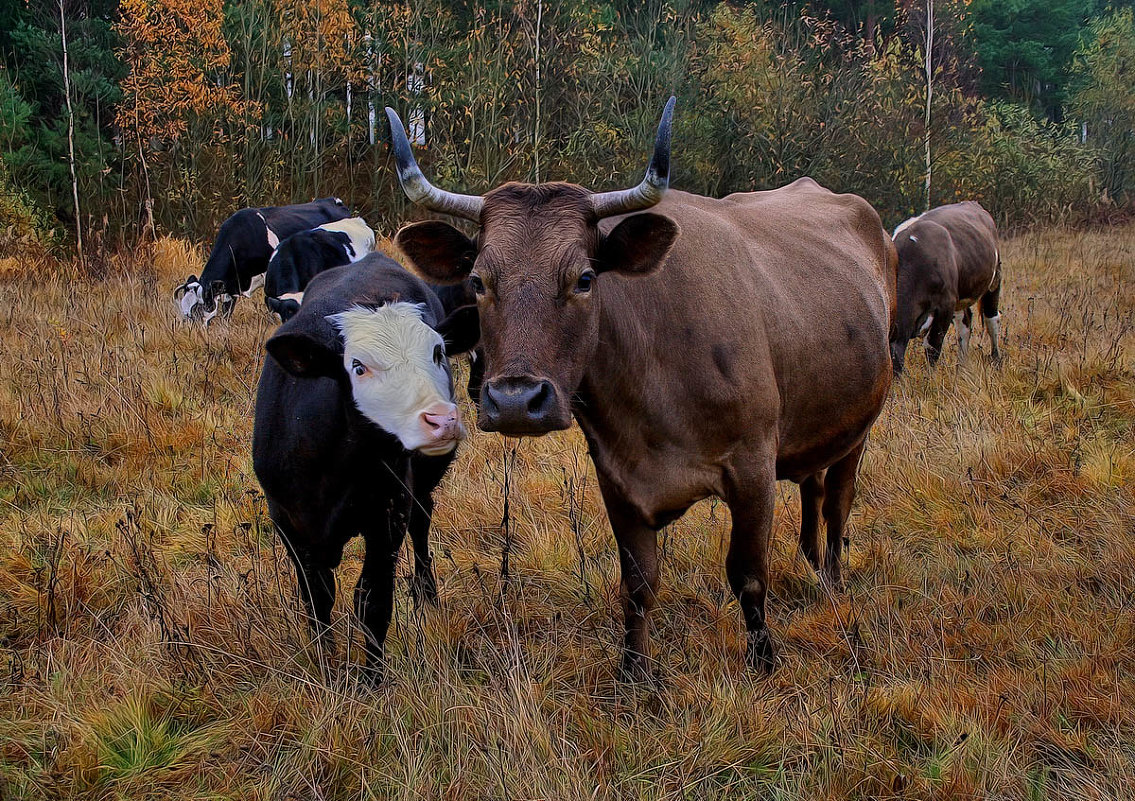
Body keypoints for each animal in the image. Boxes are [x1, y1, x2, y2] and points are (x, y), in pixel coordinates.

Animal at [172, 196, 347, 322]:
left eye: (197, 309)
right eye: (184, 312)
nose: (193, 334)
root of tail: (334, 201)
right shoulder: (231, 285)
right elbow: (227, 311)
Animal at [253, 253, 478, 676]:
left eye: (438, 352)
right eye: (358, 366)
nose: (442, 420)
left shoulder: (388, 515)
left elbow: (373, 602)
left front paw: (373, 678)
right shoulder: (286, 521)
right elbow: (317, 597)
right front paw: (325, 666)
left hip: (420, 486)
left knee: (422, 522)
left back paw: (426, 594)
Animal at [388, 98, 894, 671]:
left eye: (585, 278)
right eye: (477, 281)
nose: (515, 401)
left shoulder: (753, 468)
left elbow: (748, 575)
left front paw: (764, 660)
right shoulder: (617, 478)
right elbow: (637, 584)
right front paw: (633, 670)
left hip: (859, 426)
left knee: (837, 503)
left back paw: (831, 579)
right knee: (813, 486)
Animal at [885, 200, 1003, 372]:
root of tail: (971, 203)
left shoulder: (945, 304)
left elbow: (932, 346)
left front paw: (930, 376)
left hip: (994, 281)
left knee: (991, 318)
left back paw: (996, 358)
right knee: (965, 322)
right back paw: (962, 364)